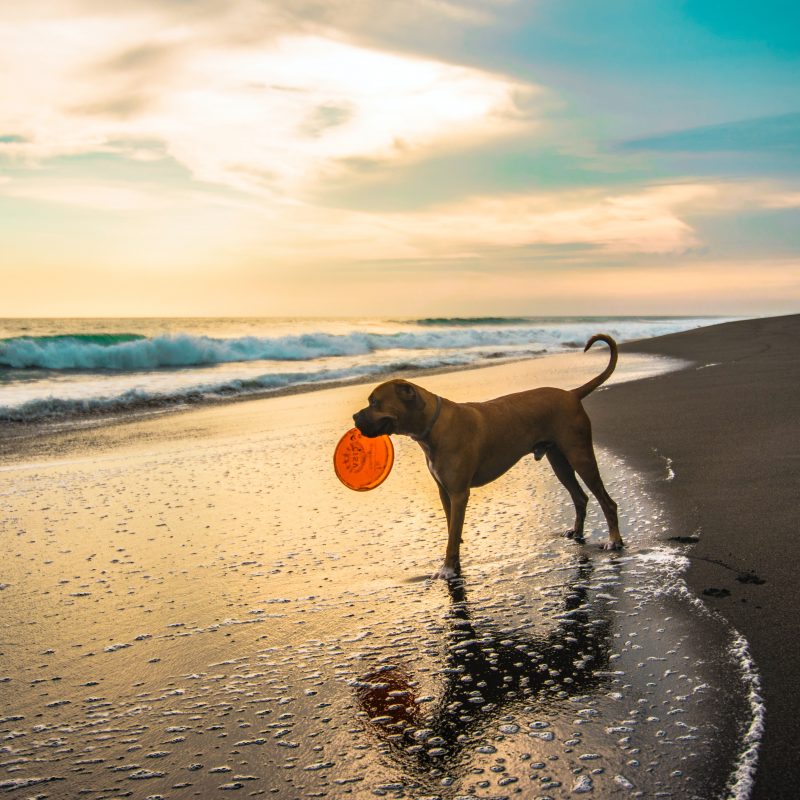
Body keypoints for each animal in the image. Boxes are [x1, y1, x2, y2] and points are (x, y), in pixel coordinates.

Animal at [354, 334, 620, 580]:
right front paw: (454, 563)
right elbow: (452, 530)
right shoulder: (445, 492)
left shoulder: (459, 494)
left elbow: (453, 534)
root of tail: (572, 394)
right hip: (559, 461)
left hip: (580, 455)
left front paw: (447, 568)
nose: (355, 418)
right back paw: (577, 532)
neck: (433, 425)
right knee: (580, 497)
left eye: (375, 402)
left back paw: (614, 541)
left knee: (607, 502)